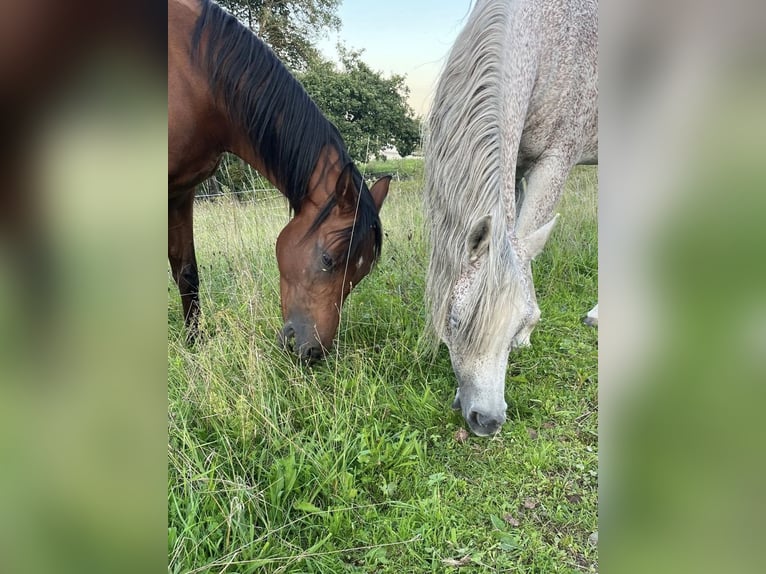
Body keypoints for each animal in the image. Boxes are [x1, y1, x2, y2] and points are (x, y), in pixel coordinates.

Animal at [168, 0, 391, 361]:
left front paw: (194, 344)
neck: (197, 77)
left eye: (362, 272)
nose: (312, 352)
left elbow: (186, 272)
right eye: (328, 259)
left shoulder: (182, 191)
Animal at [424, 0, 597, 436]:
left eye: (516, 322)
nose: (487, 420)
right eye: (454, 320)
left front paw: (530, 331)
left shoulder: (556, 160)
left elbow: (527, 234)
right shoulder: (515, 156)